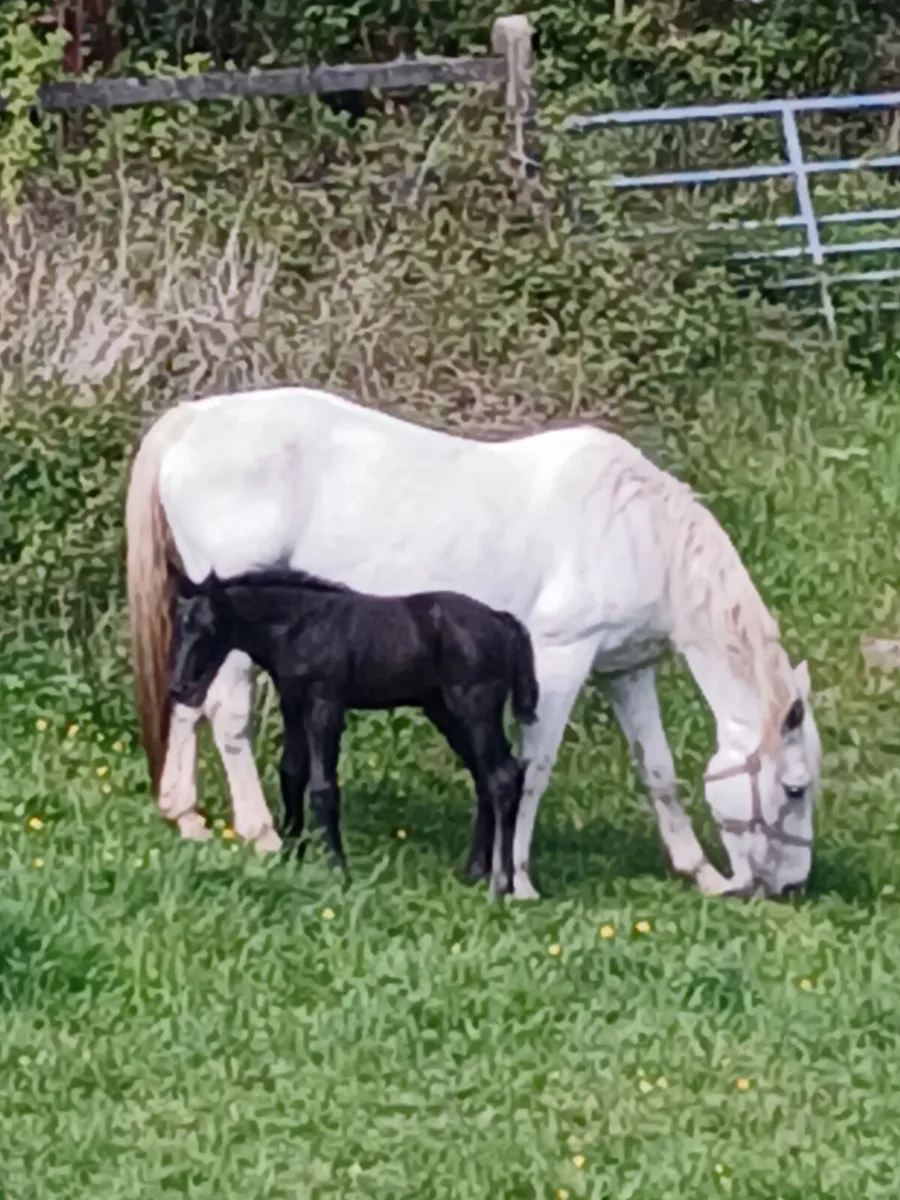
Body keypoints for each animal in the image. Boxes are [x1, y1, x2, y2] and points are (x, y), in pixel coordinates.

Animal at [169, 566, 538, 895]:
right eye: (180, 626)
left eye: (210, 627)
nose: (180, 689)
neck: (301, 627)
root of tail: (502, 621)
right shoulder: (293, 703)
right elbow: (291, 773)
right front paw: (288, 856)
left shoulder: (325, 706)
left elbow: (323, 788)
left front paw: (338, 870)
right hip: (446, 713)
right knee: (486, 778)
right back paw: (474, 872)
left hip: (476, 711)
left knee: (503, 776)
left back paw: (500, 885)